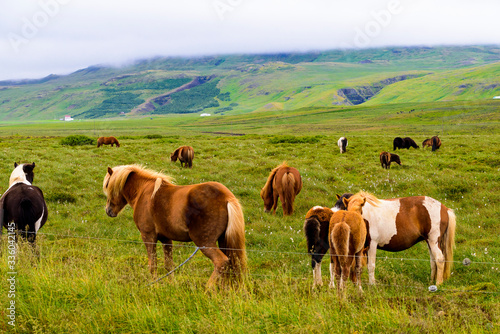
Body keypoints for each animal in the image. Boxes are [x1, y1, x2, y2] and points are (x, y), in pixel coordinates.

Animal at [102, 164, 247, 288]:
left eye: (108, 185)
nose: (108, 211)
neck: (144, 193)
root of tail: (227, 198)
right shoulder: (166, 239)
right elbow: (169, 265)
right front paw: (171, 285)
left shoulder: (148, 236)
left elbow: (153, 265)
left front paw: (153, 286)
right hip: (223, 241)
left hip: (205, 242)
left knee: (221, 262)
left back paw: (208, 289)